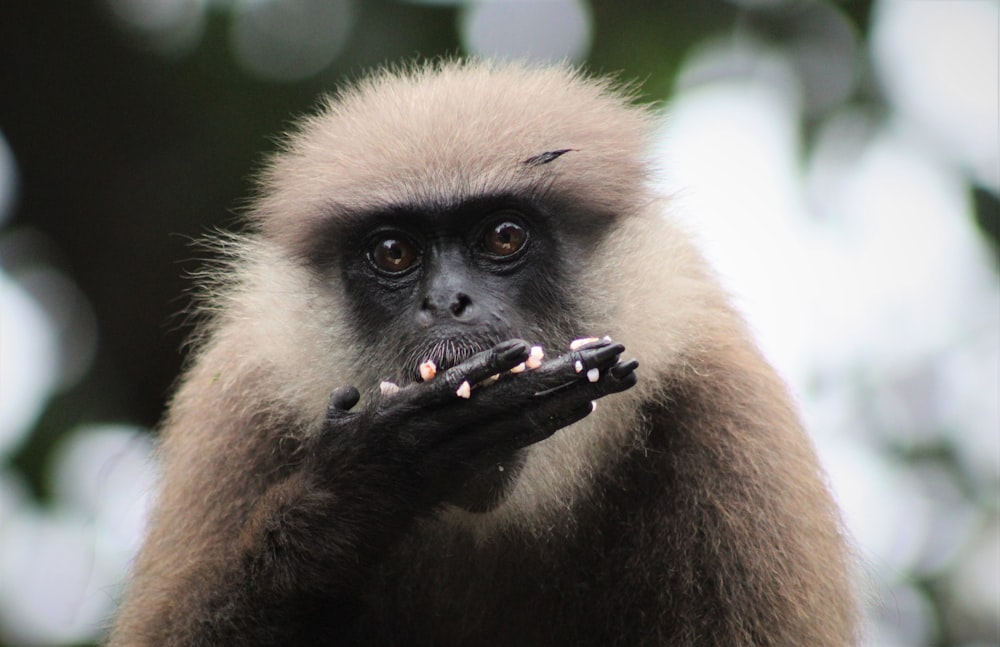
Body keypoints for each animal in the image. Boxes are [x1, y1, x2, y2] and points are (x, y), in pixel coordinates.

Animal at [107, 62, 860, 647]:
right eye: (394, 252)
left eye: (503, 237)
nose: (448, 301)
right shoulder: (237, 410)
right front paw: (366, 481)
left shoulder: (729, 426)